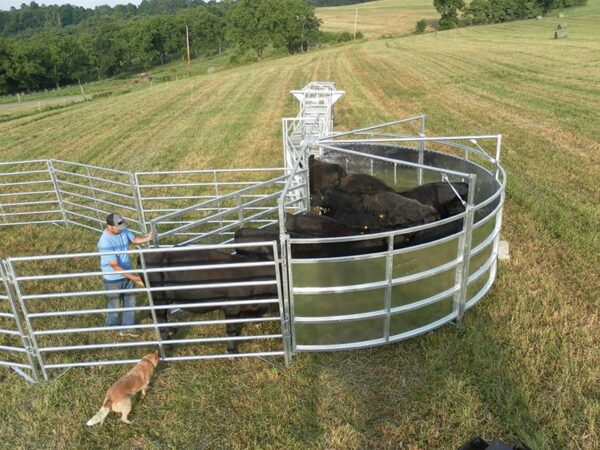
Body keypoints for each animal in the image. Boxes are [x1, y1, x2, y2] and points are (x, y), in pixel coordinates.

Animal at [141, 248, 278, 354]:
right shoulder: (231, 307)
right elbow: (231, 329)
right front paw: (231, 351)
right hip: (158, 298)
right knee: (156, 315)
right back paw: (168, 343)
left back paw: (171, 330)